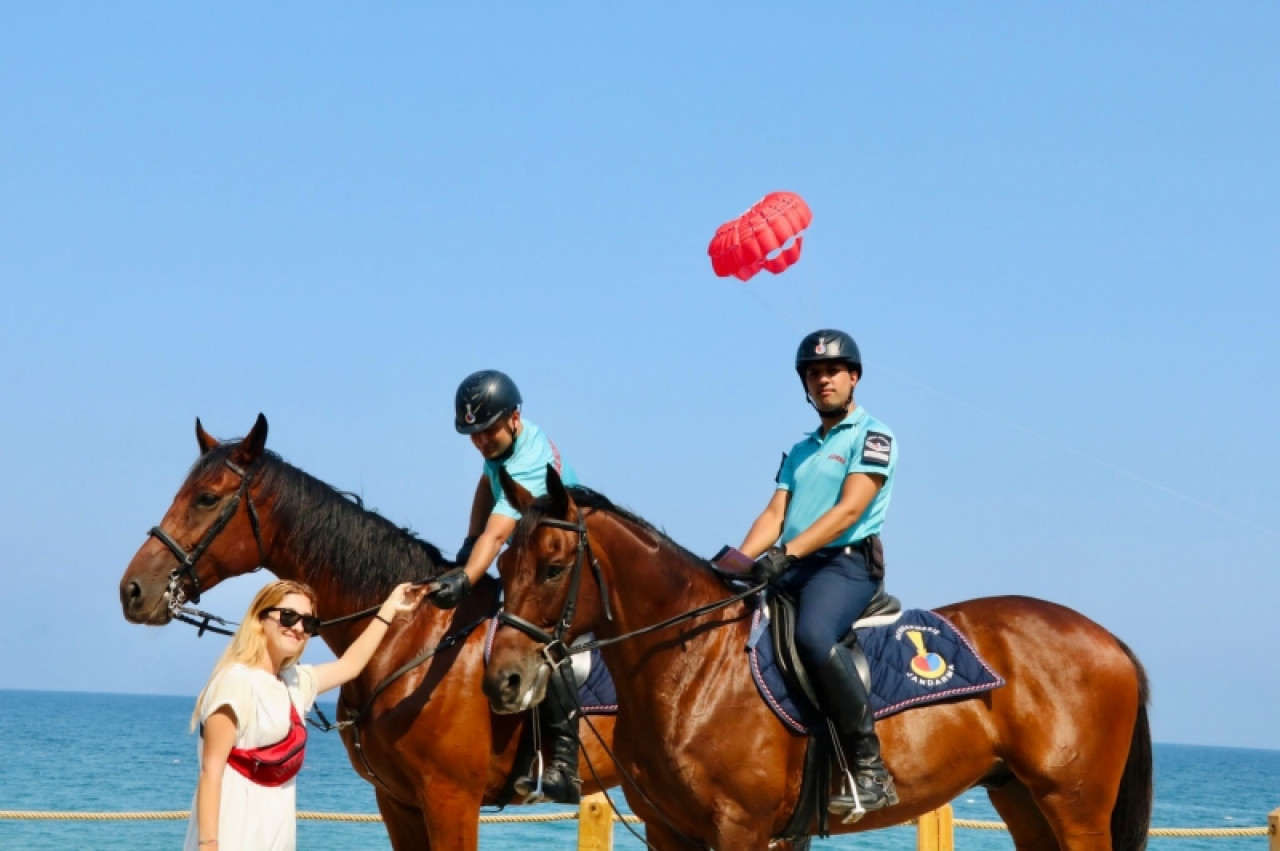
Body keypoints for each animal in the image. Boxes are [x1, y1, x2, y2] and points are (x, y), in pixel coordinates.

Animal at [481, 465, 1162, 849]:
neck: (694, 668)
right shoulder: (670, 831)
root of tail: (1108, 638)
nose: (502, 681)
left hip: (1074, 808)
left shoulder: (741, 830)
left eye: (553, 568)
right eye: (502, 567)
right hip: (1022, 800)